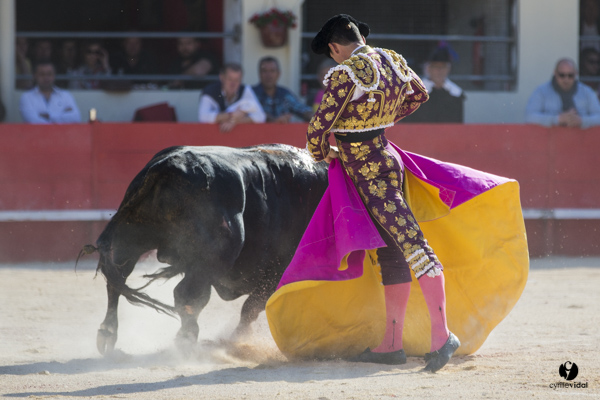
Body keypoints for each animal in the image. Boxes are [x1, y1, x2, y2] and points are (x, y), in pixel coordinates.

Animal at [78, 144, 328, 355]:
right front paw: (236, 340)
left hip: (130, 237)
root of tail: (166, 167)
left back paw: (107, 334)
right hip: (211, 259)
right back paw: (186, 340)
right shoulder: (276, 274)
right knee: (187, 295)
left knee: (117, 279)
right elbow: (251, 307)